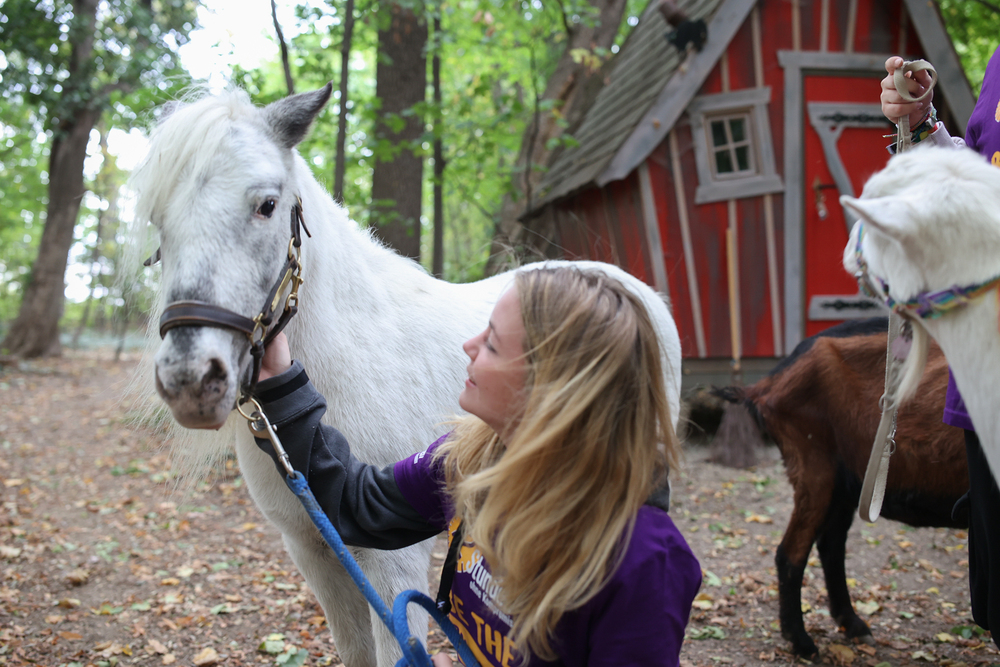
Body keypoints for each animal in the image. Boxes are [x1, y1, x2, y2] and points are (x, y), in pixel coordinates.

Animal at [714, 317, 967, 656]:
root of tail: (769, 381)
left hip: (847, 481)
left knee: (830, 545)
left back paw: (852, 624)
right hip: (815, 466)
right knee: (791, 552)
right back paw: (801, 641)